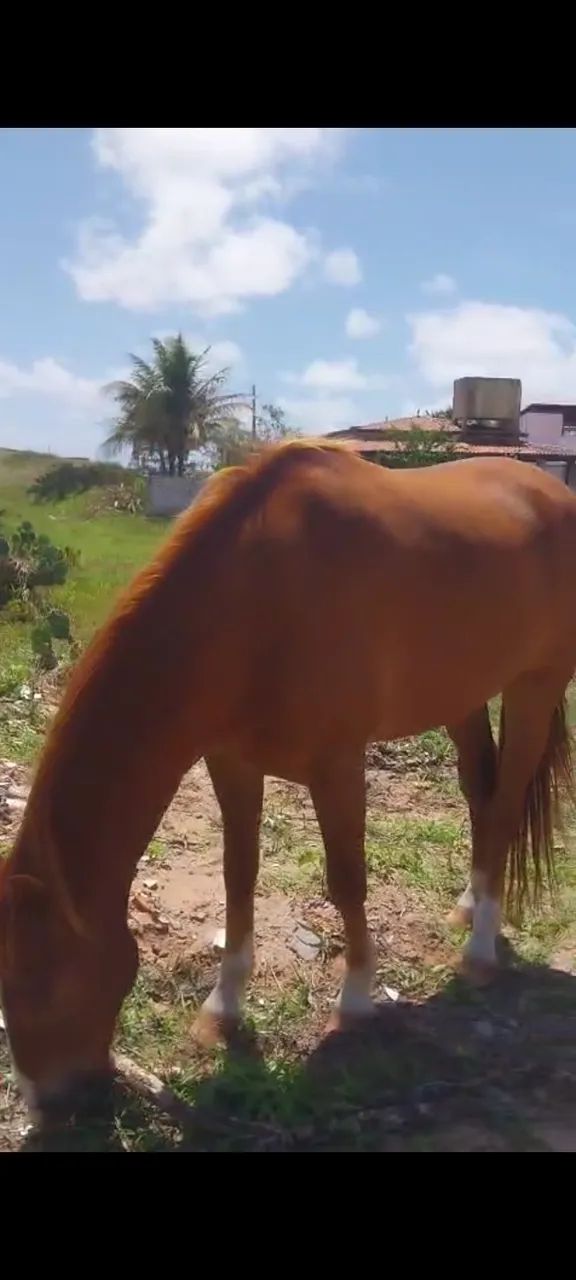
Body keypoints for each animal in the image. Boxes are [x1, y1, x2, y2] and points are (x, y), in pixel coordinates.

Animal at [1, 438, 576, 1121]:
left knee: (507, 801)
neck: (254, 598)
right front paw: (223, 1009)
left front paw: (355, 1002)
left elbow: (348, 881)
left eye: (42, 979)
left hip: (535, 685)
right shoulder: (232, 762)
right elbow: (238, 876)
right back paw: (467, 908)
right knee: (481, 797)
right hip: (460, 694)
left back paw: (481, 951)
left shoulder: (338, 764)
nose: (44, 1107)